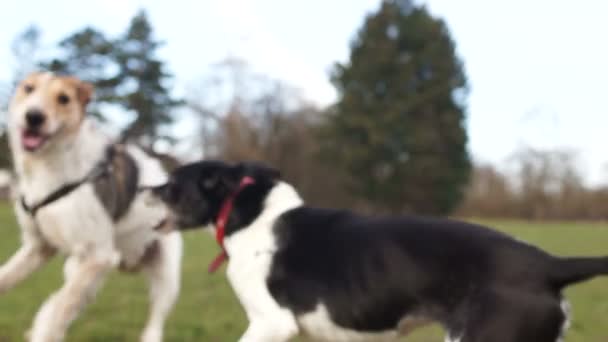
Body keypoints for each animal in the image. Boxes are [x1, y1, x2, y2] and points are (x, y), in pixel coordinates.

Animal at [0, 73, 180, 342]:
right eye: (28, 89)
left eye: (64, 98)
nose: (34, 116)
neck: (46, 165)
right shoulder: (37, 247)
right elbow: (10, 278)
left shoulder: (100, 254)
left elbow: (62, 305)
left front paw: (45, 329)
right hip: (77, 265)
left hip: (165, 277)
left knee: (154, 320)